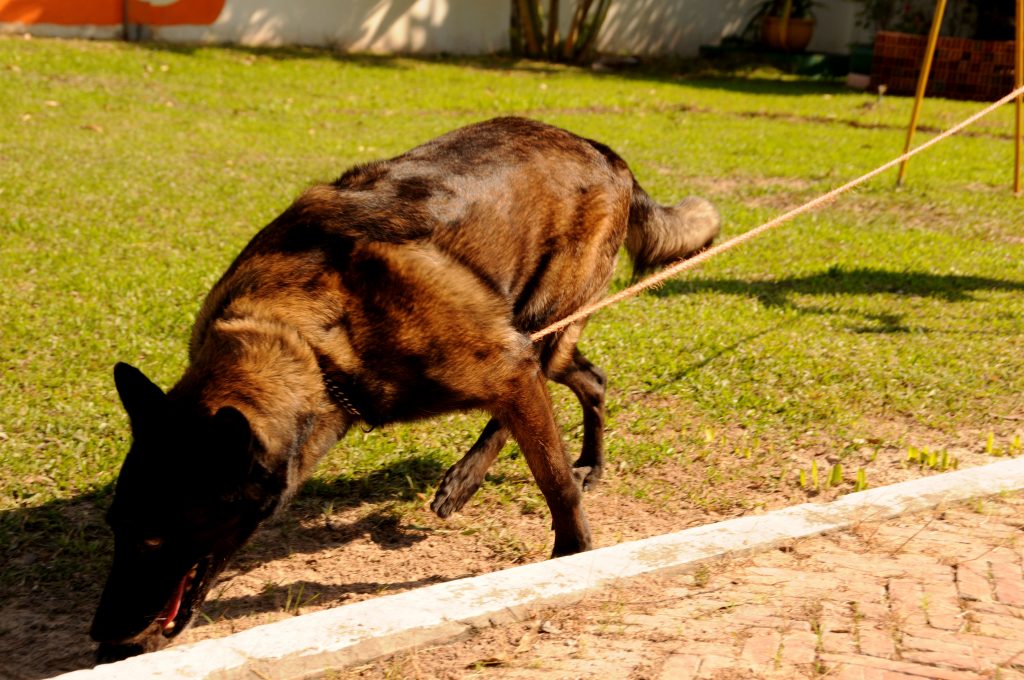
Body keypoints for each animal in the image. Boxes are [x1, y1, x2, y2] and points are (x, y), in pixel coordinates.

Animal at [90, 115, 720, 659]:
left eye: (153, 540)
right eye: (117, 526)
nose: (101, 637)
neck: (311, 341)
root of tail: (599, 149)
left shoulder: (505, 364)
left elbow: (555, 483)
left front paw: (571, 557)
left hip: (540, 325)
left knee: (540, 409)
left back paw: (479, 477)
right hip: (546, 336)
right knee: (590, 380)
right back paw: (577, 461)